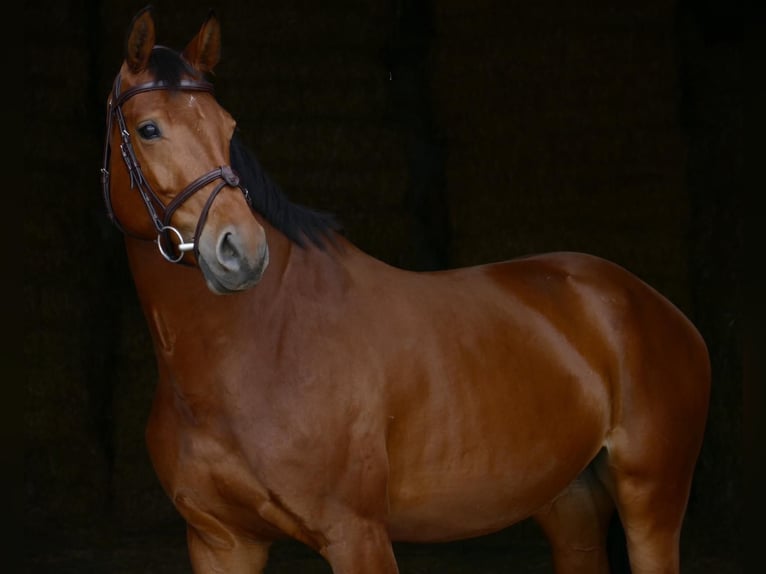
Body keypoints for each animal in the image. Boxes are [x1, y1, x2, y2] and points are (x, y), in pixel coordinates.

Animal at [100, 7, 710, 573]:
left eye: (228, 127)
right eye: (149, 129)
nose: (241, 250)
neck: (259, 346)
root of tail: (654, 306)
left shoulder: (357, 534)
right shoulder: (221, 543)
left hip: (651, 504)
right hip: (569, 507)